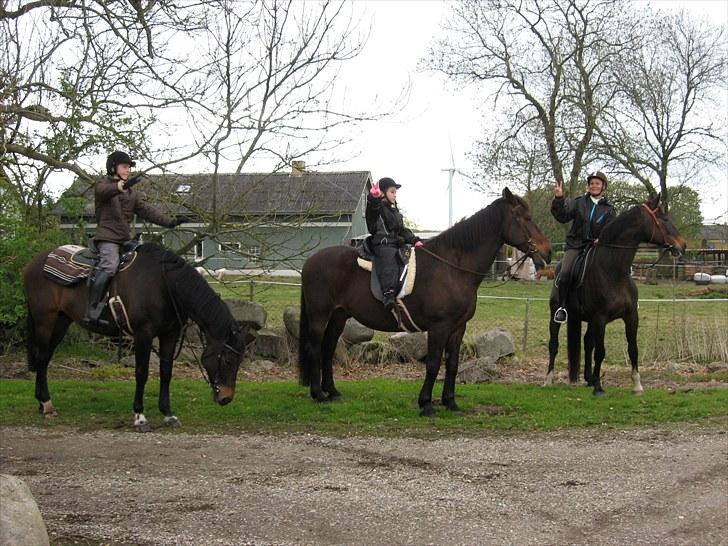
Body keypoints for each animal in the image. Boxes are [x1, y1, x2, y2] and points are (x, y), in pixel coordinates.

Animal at [23, 242, 253, 430]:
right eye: (228, 360)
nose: (226, 398)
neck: (163, 285)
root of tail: (34, 262)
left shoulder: (170, 334)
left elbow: (166, 372)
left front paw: (168, 414)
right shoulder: (143, 335)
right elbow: (141, 373)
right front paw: (140, 417)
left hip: (62, 321)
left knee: (45, 358)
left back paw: (42, 403)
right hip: (45, 320)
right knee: (42, 357)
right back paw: (46, 404)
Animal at [298, 189, 552, 414]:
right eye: (525, 218)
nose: (548, 252)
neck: (452, 267)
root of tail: (311, 261)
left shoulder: (458, 327)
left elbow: (452, 364)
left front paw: (450, 403)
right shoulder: (439, 327)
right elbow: (433, 364)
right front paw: (427, 404)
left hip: (338, 315)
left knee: (328, 348)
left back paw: (332, 391)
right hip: (319, 315)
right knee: (314, 348)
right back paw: (318, 394)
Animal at [544, 193, 688, 394]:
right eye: (664, 219)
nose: (683, 244)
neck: (614, 271)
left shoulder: (631, 316)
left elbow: (632, 349)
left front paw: (637, 385)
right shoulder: (600, 318)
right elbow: (600, 352)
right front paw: (598, 388)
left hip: (588, 320)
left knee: (587, 343)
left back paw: (589, 378)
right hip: (557, 314)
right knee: (554, 344)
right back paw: (549, 379)